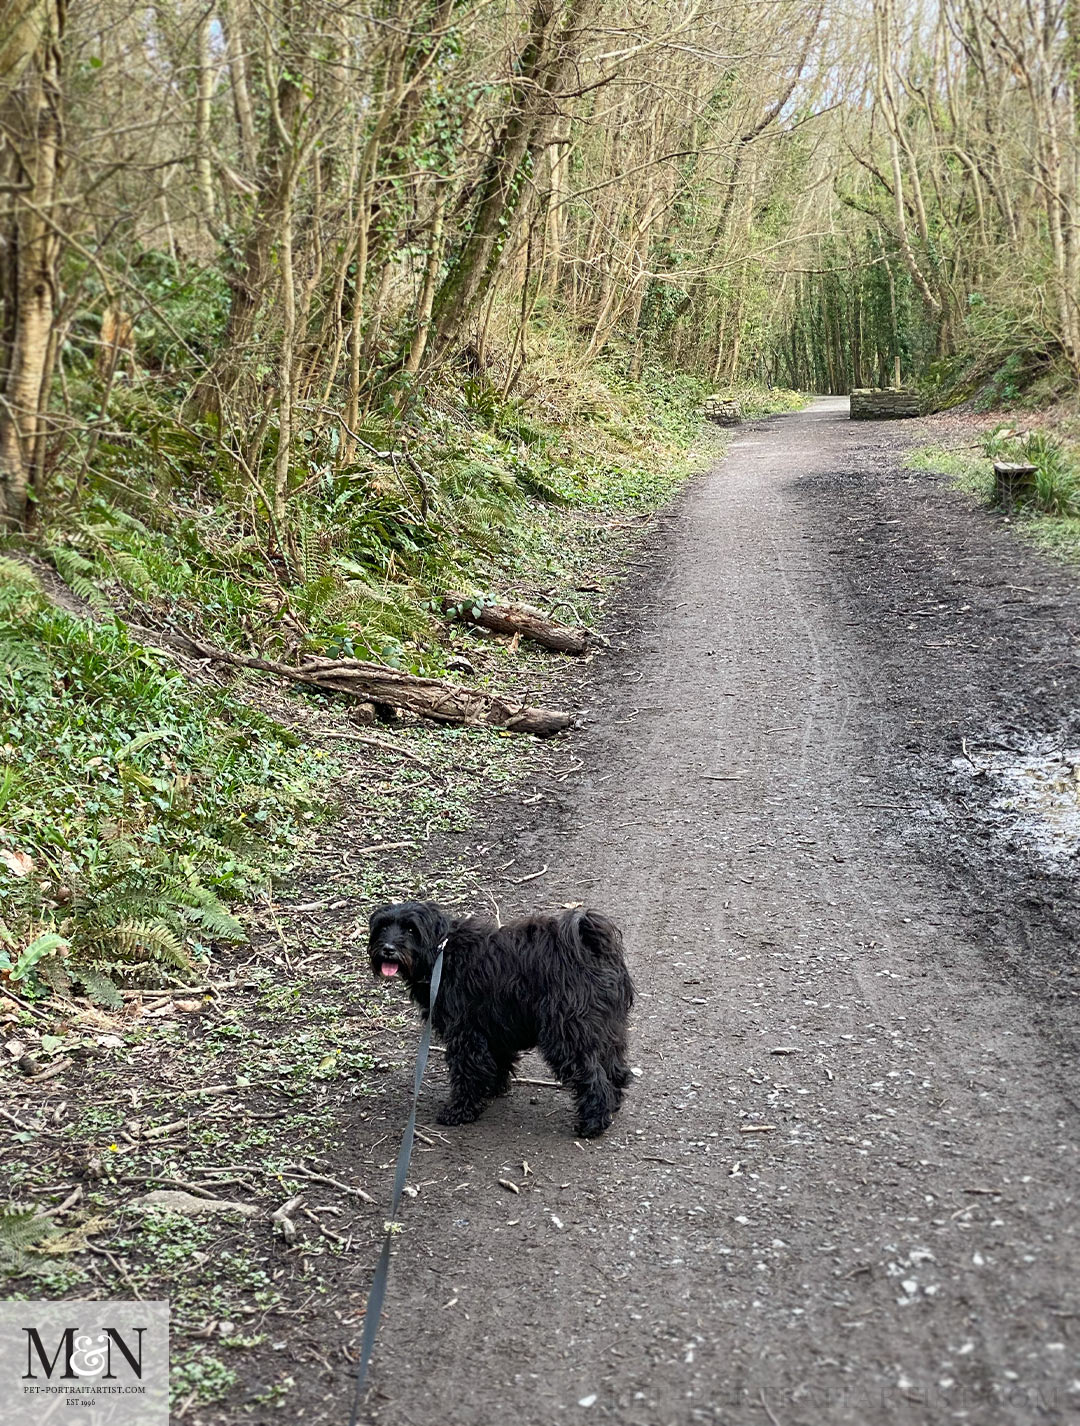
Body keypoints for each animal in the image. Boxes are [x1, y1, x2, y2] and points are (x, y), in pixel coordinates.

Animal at [368, 901, 630, 1135]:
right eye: (382, 927)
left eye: (411, 929)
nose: (388, 948)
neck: (442, 952)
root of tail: (591, 947)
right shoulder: (494, 1027)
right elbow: (496, 1061)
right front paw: (492, 1089)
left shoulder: (466, 1033)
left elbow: (468, 1072)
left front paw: (460, 1110)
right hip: (606, 1030)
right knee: (614, 1069)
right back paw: (613, 1104)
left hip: (566, 1035)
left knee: (593, 1078)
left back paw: (593, 1123)